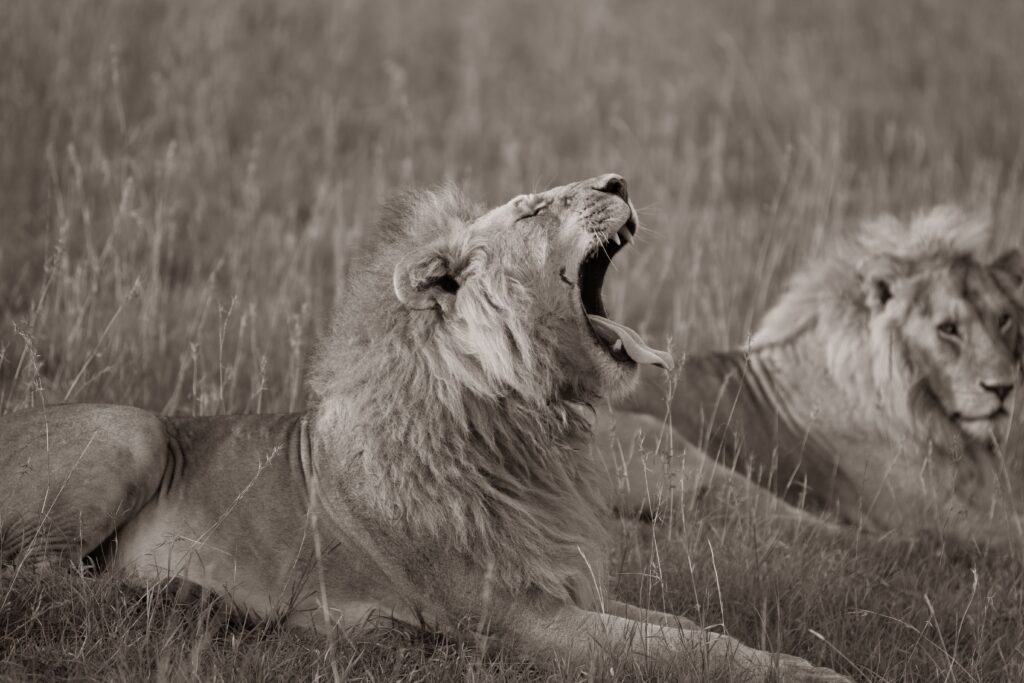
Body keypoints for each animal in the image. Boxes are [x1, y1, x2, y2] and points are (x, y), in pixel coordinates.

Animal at [0, 175, 847, 681]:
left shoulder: (565, 580)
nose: (617, 180)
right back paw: (199, 601)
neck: (532, 424)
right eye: (535, 206)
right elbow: (680, 646)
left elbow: (685, 623)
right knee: (42, 582)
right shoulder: (517, 617)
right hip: (132, 433)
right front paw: (812, 673)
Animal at [601, 206, 1024, 543]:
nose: (1002, 388)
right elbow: (1010, 537)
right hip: (685, 455)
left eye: (1004, 319)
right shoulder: (942, 510)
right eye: (948, 328)